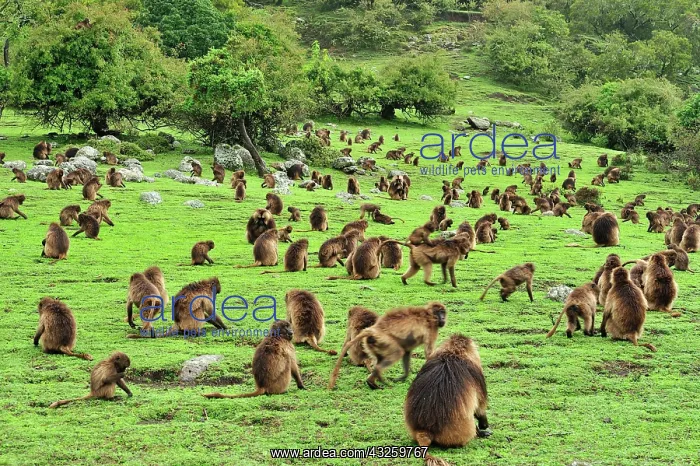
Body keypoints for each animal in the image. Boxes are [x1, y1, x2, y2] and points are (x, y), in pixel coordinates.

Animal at [404, 334, 490, 465]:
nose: (485, 426)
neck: (452, 353)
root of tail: (424, 430)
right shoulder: (476, 373)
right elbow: (480, 406)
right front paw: (484, 425)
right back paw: (480, 433)